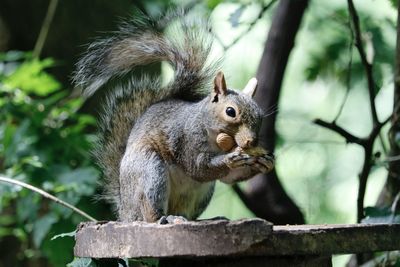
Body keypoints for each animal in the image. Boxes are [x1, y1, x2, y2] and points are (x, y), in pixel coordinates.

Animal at [73, 12, 276, 223]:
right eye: (230, 111)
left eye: (260, 115)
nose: (251, 142)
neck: (217, 140)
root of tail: (126, 213)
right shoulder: (185, 138)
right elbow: (198, 168)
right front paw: (231, 158)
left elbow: (227, 177)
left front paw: (264, 162)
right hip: (150, 171)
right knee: (150, 210)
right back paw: (162, 218)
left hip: (200, 194)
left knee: (186, 212)